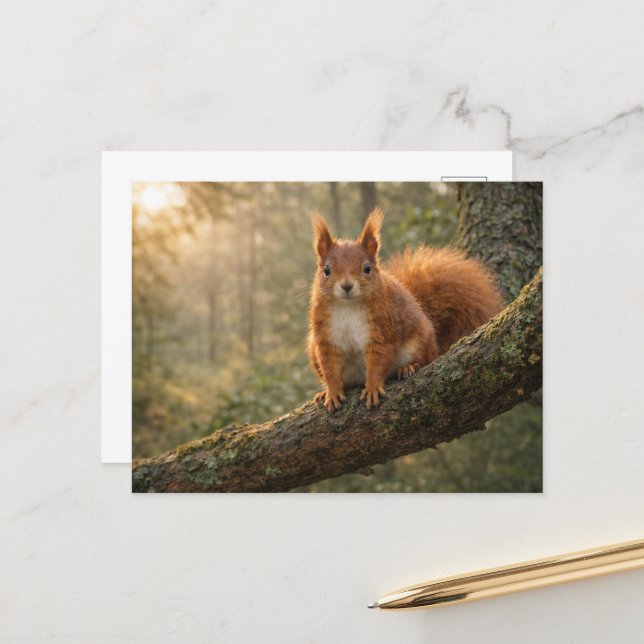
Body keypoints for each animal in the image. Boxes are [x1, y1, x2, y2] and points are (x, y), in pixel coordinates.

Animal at [308, 208, 503, 412]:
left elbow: (379, 361)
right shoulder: (325, 336)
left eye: (367, 268)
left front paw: (373, 388)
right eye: (327, 270)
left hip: (418, 343)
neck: (348, 306)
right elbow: (329, 367)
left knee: (423, 360)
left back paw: (408, 368)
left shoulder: (383, 329)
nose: (346, 286)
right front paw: (332, 392)